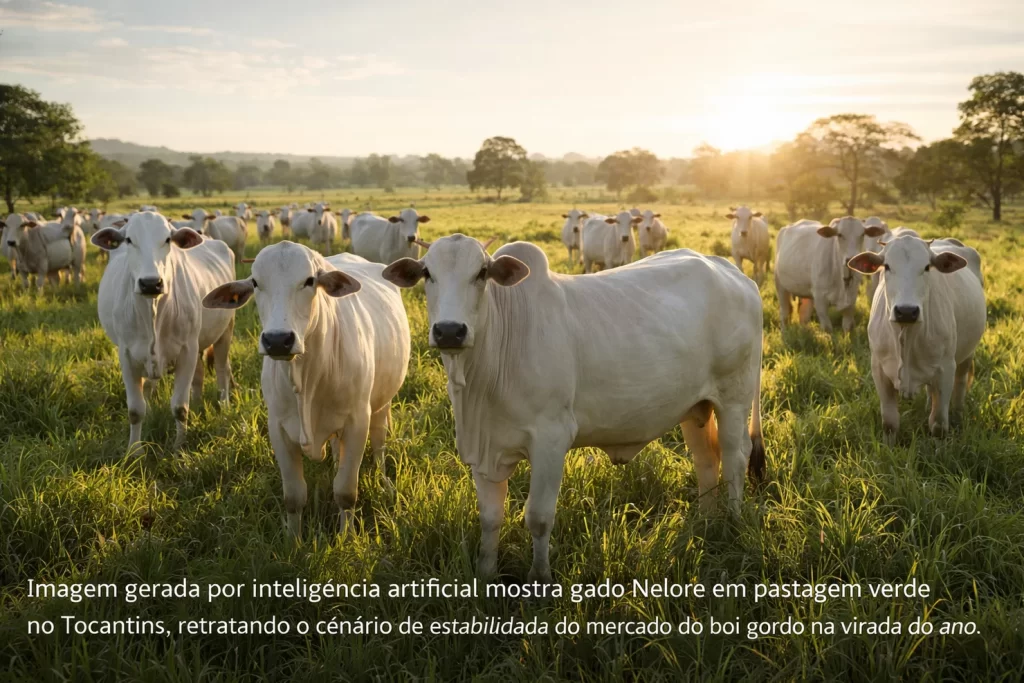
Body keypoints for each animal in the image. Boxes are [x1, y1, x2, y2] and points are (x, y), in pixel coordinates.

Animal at [92, 212, 236, 450]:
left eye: (168, 239)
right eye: (129, 239)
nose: (151, 283)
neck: (154, 311)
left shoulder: (187, 351)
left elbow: (179, 407)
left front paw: (179, 447)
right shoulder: (127, 355)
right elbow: (135, 410)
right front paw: (134, 450)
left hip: (225, 329)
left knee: (222, 369)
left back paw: (224, 406)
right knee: (197, 375)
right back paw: (197, 402)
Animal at [202, 243, 411, 536]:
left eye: (310, 280)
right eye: (255, 283)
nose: (278, 340)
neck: (307, 377)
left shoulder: (358, 421)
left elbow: (345, 491)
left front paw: (346, 537)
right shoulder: (278, 427)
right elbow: (293, 495)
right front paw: (294, 540)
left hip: (381, 405)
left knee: (379, 445)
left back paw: (383, 483)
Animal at [381, 234, 765, 581]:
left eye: (482, 272)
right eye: (427, 273)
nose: (449, 331)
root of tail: (733, 272)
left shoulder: (551, 439)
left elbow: (538, 517)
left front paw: (540, 578)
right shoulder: (485, 448)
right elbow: (490, 518)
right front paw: (485, 574)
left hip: (733, 399)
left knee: (735, 458)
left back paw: (731, 523)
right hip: (695, 407)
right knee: (706, 460)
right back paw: (705, 521)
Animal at [847, 234, 985, 440]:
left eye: (927, 267)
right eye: (886, 266)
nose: (906, 311)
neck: (906, 335)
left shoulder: (946, 369)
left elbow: (938, 424)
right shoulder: (879, 370)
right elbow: (890, 423)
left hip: (967, 354)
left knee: (960, 384)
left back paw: (958, 414)